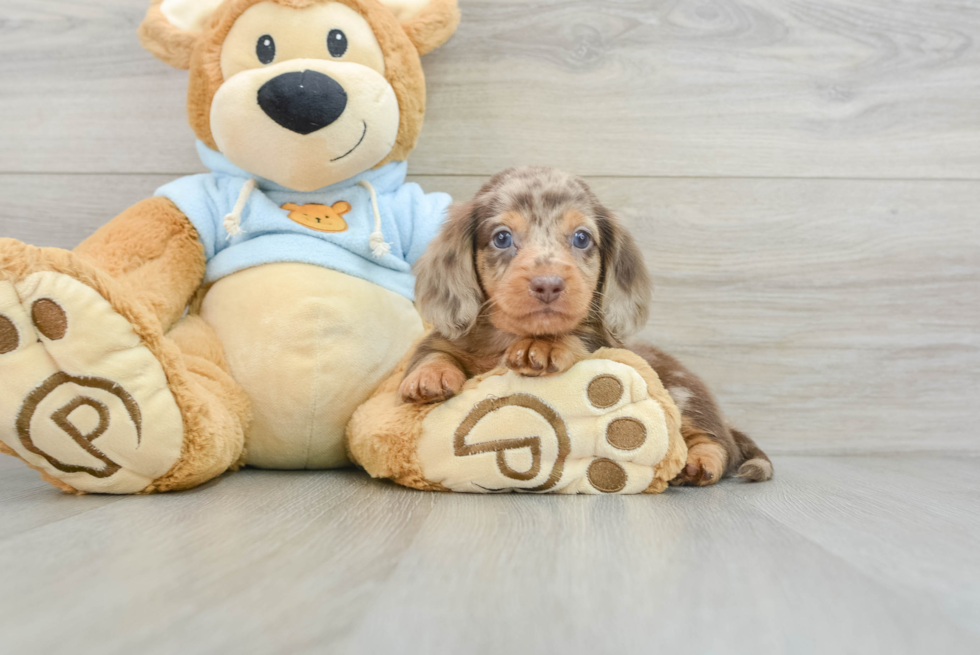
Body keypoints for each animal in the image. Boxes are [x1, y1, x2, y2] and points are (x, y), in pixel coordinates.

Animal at [400, 168, 772, 486]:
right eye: (502, 238)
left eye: (581, 238)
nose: (548, 284)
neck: (507, 338)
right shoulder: (445, 339)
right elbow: (433, 352)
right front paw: (429, 376)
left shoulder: (599, 345)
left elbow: (575, 337)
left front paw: (544, 345)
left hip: (683, 395)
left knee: (719, 443)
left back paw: (699, 462)